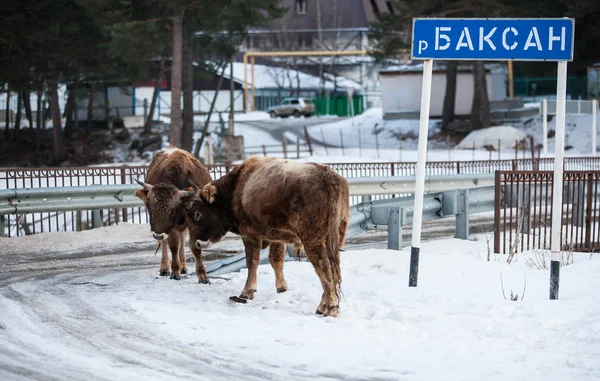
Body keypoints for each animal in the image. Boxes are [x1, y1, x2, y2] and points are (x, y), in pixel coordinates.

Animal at [135, 148, 212, 282]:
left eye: (172, 211)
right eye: (150, 208)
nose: (157, 235)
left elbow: (195, 247)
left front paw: (202, 275)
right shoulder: (170, 227)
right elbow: (174, 245)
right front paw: (175, 271)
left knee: (182, 238)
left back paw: (183, 266)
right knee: (168, 242)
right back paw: (165, 268)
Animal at [185, 156, 350, 316]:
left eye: (198, 213)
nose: (198, 243)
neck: (237, 187)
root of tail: (327, 175)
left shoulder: (249, 235)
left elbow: (252, 262)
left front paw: (247, 291)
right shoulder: (276, 238)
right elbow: (276, 260)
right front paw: (281, 288)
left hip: (312, 240)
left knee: (323, 267)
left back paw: (330, 308)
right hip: (334, 238)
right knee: (333, 269)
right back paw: (324, 306)